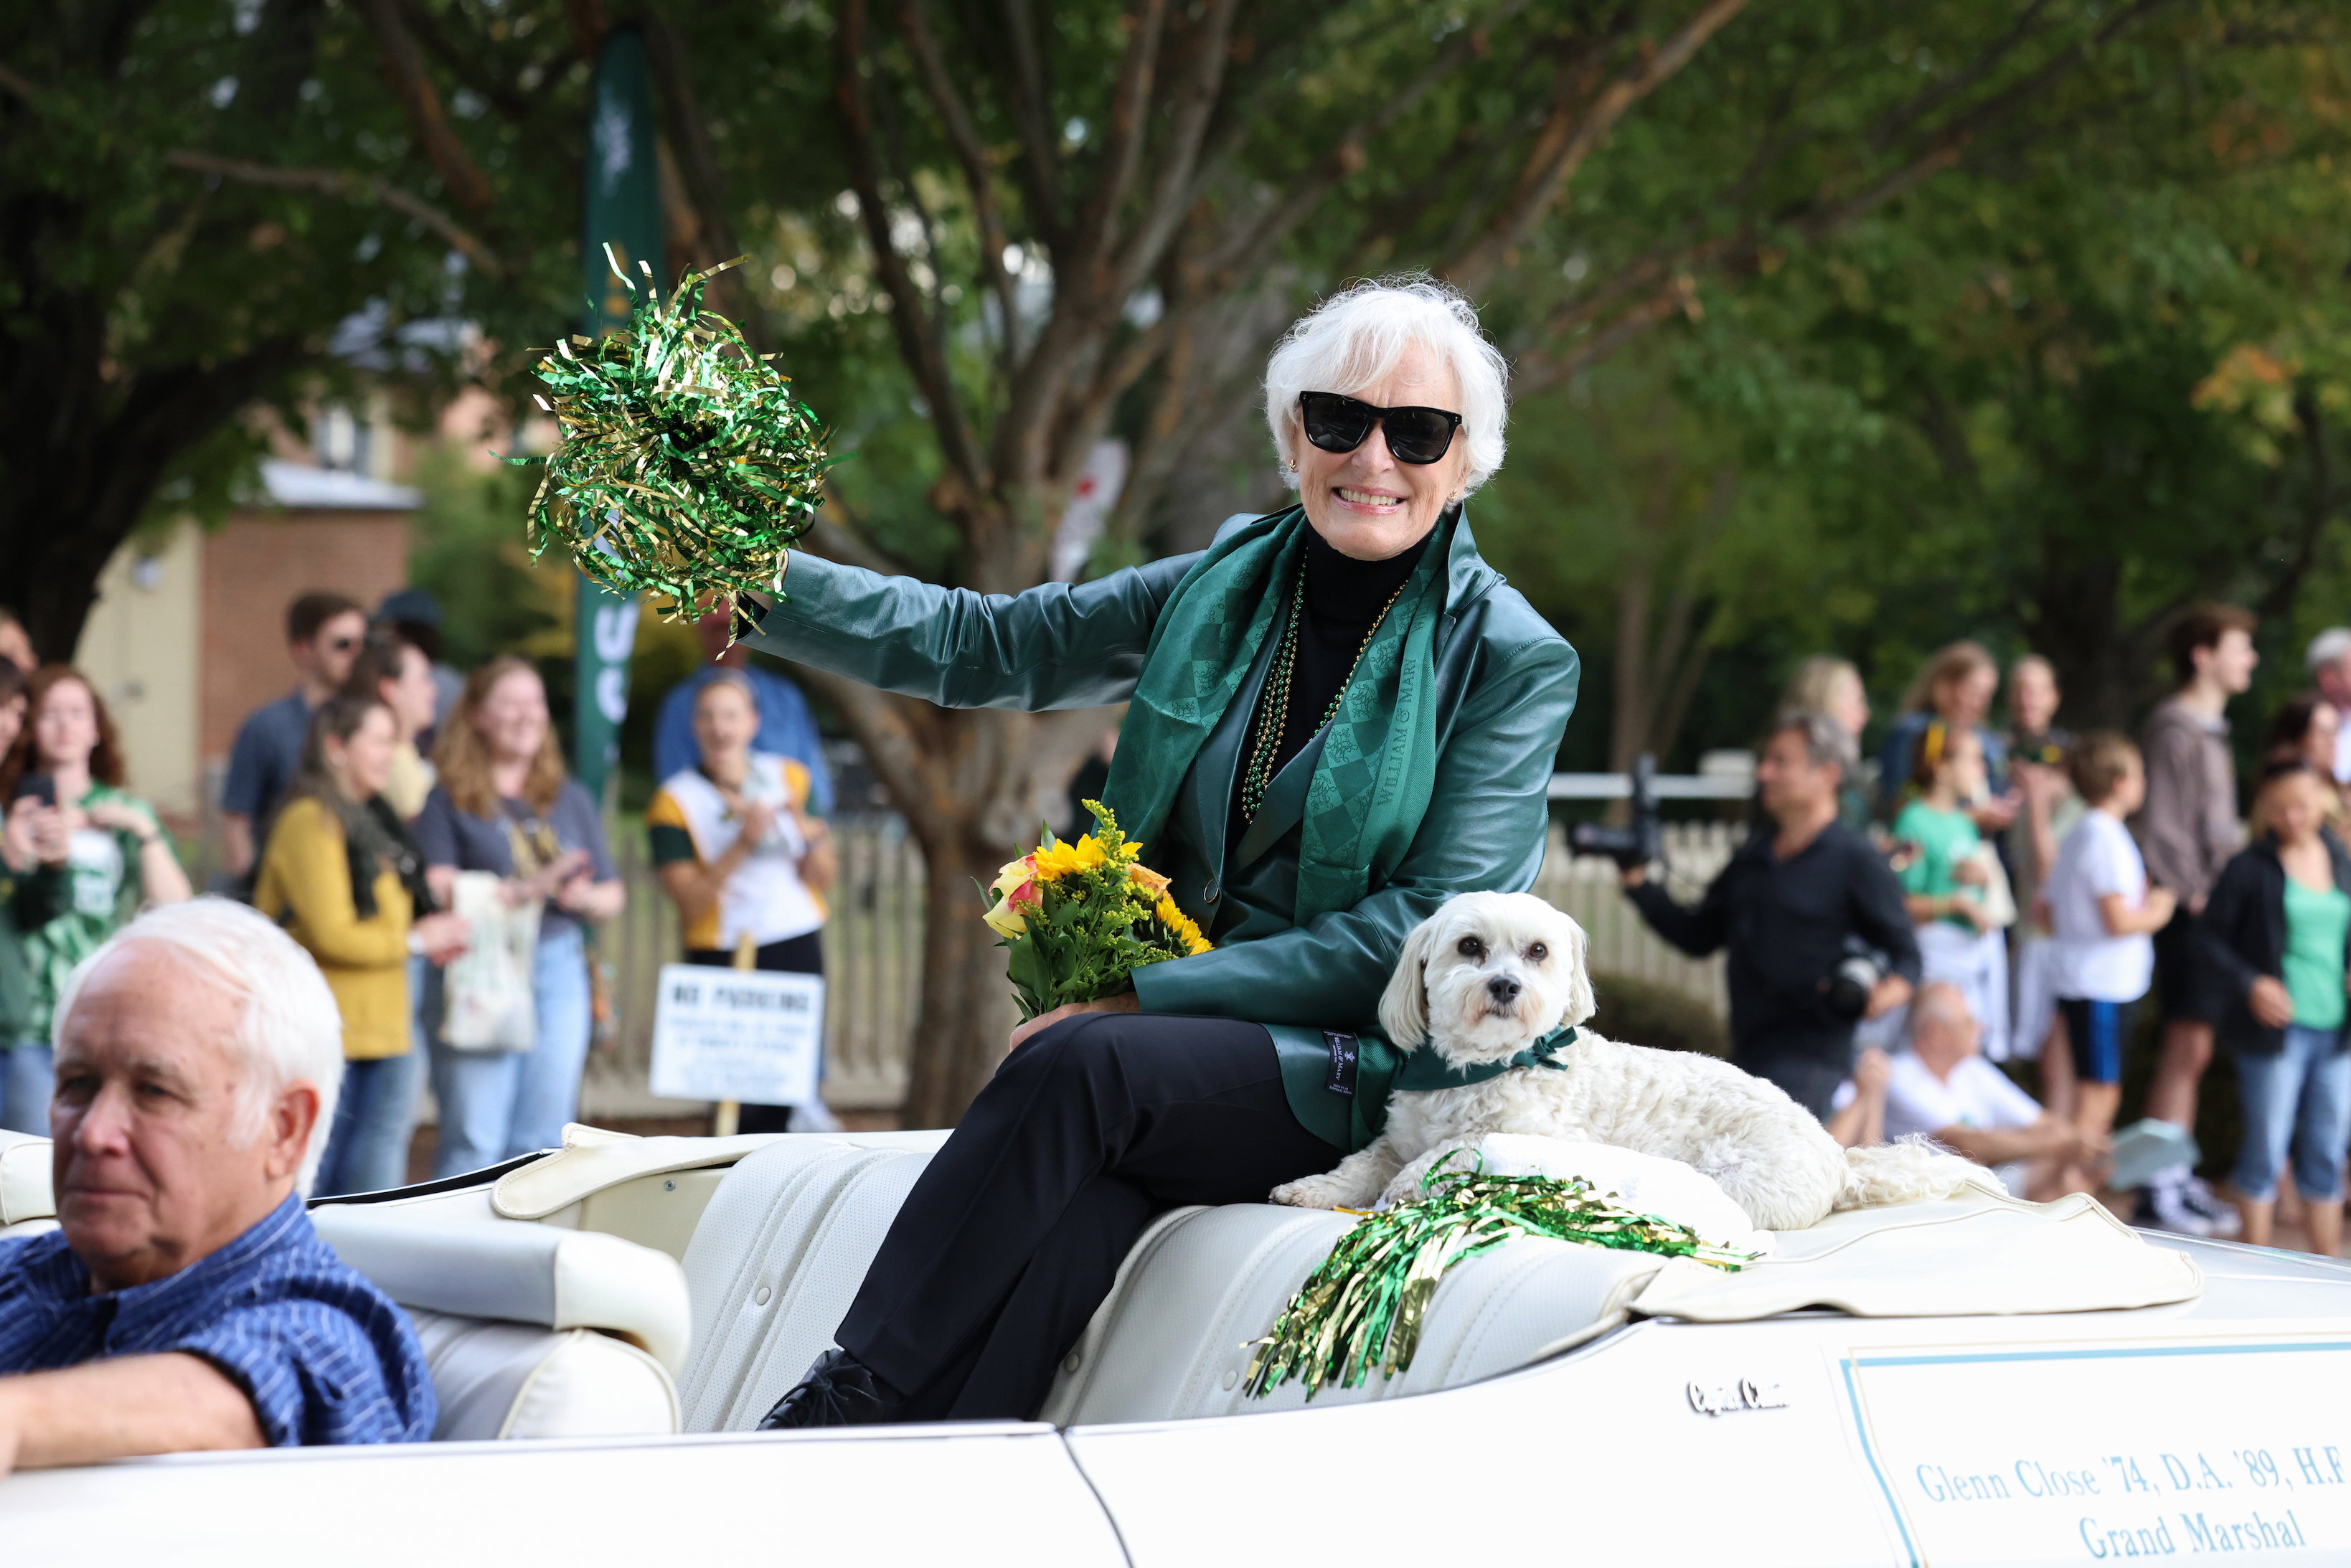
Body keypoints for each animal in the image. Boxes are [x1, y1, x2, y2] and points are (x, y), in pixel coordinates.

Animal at [1269, 888, 1984, 1232]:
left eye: (1536, 952)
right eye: (1469, 946)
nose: (1504, 986)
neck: (1478, 1066)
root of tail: (1837, 1157)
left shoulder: (1532, 1137)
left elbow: (1445, 1152)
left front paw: (1405, 1187)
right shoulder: (1396, 1136)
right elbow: (1363, 1163)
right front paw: (1314, 1189)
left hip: (1733, 1181)